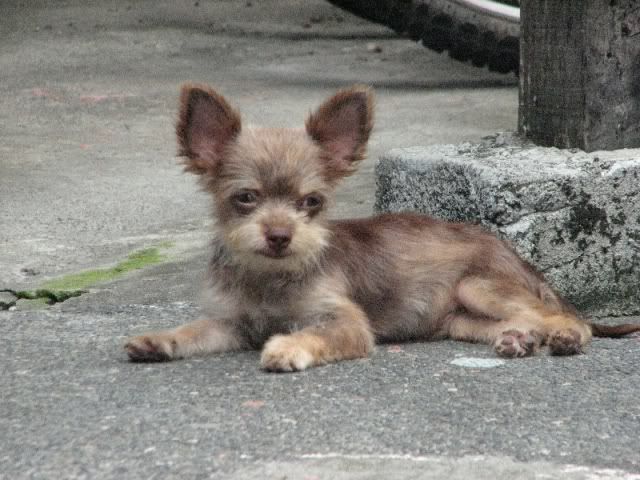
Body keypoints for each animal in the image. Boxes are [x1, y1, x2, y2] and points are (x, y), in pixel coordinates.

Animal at [125, 85, 640, 372]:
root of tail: (515, 257)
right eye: (245, 198)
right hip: (458, 320)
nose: (279, 236)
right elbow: (194, 330)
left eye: (312, 202)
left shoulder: (347, 323)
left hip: (478, 285)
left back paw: (565, 337)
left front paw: (288, 346)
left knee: (565, 318)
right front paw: (159, 340)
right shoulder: (231, 322)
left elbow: (316, 334)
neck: (270, 279)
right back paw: (519, 339)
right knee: (519, 321)